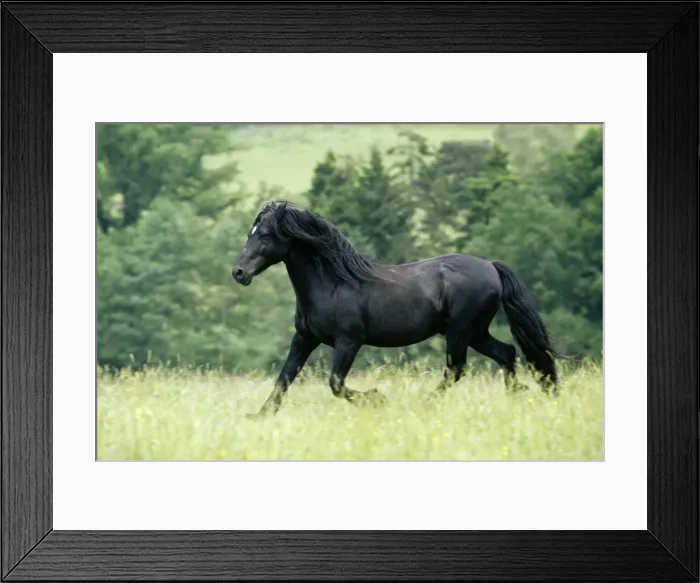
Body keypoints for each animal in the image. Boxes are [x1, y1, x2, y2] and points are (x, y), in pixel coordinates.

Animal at [232, 200, 564, 417]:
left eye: (265, 235)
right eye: (250, 233)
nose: (239, 272)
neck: (333, 283)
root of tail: (491, 266)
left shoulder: (348, 342)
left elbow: (336, 384)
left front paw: (376, 400)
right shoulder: (304, 339)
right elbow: (284, 378)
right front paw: (261, 415)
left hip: (460, 331)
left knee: (456, 368)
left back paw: (425, 403)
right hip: (476, 332)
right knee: (506, 353)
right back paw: (516, 396)